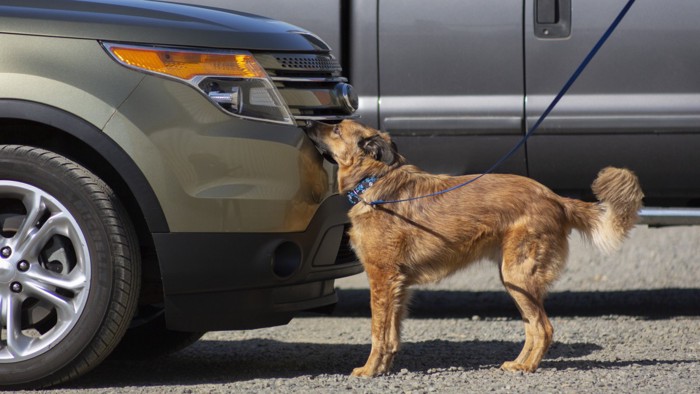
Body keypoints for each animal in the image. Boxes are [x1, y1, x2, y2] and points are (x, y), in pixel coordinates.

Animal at [304, 119, 644, 376]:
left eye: (337, 129)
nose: (307, 122)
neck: (374, 181)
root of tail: (557, 199)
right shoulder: (398, 285)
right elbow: (392, 334)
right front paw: (384, 368)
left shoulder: (382, 278)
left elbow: (378, 332)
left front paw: (369, 370)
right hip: (514, 280)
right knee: (533, 328)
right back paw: (518, 363)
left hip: (518, 277)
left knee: (544, 328)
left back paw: (527, 367)